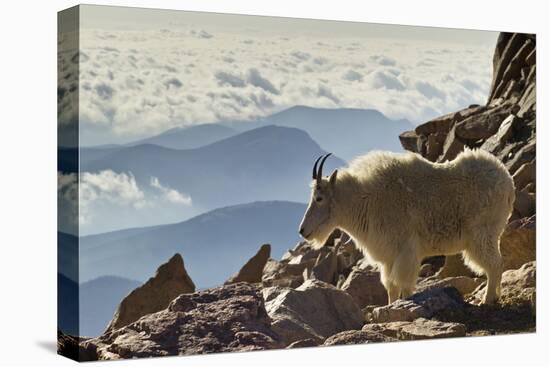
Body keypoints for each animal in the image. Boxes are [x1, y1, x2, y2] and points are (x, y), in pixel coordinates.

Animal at [300, 150, 516, 304]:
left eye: (319, 198)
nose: (302, 231)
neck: (366, 201)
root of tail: (508, 182)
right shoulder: (388, 257)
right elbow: (391, 287)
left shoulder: (405, 252)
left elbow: (403, 285)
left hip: (482, 234)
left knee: (495, 264)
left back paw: (487, 300)